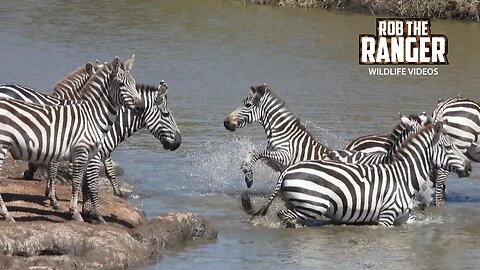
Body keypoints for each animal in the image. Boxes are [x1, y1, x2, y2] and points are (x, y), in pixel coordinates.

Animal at [0, 56, 143, 223]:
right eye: (121, 84)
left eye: (134, 83)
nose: (140, 107)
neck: (91, 114)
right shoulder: (78, 150)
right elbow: (76, 180)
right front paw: (72, 211)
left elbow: (81, 179)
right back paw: (7, 214)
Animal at [246, 123, 470, 227]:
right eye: (449, 147)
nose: (469, 167)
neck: (404, 176)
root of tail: (287, 171)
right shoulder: (386, 216)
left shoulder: (402, 218)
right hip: (312, 205)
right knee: (284, 216)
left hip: (297, 203)